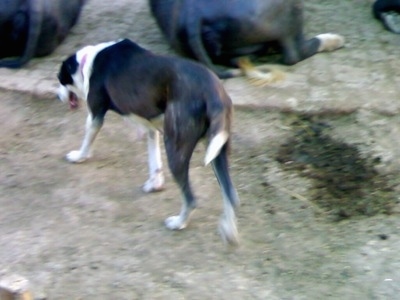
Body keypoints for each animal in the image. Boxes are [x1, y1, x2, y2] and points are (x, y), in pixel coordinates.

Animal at [57, 38, 241, 245]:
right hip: (217, 150)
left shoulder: (96, 115)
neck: (87, 62)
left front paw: (79, 156)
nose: (57, 95)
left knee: (191, 198)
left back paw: (178, 223)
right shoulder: (151, 129)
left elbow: (87, 138)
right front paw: (155, 184)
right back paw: (229, 232)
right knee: (230, 194)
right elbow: (154, 161)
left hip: (176, 149)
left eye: (60, 79)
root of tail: (213, 93)